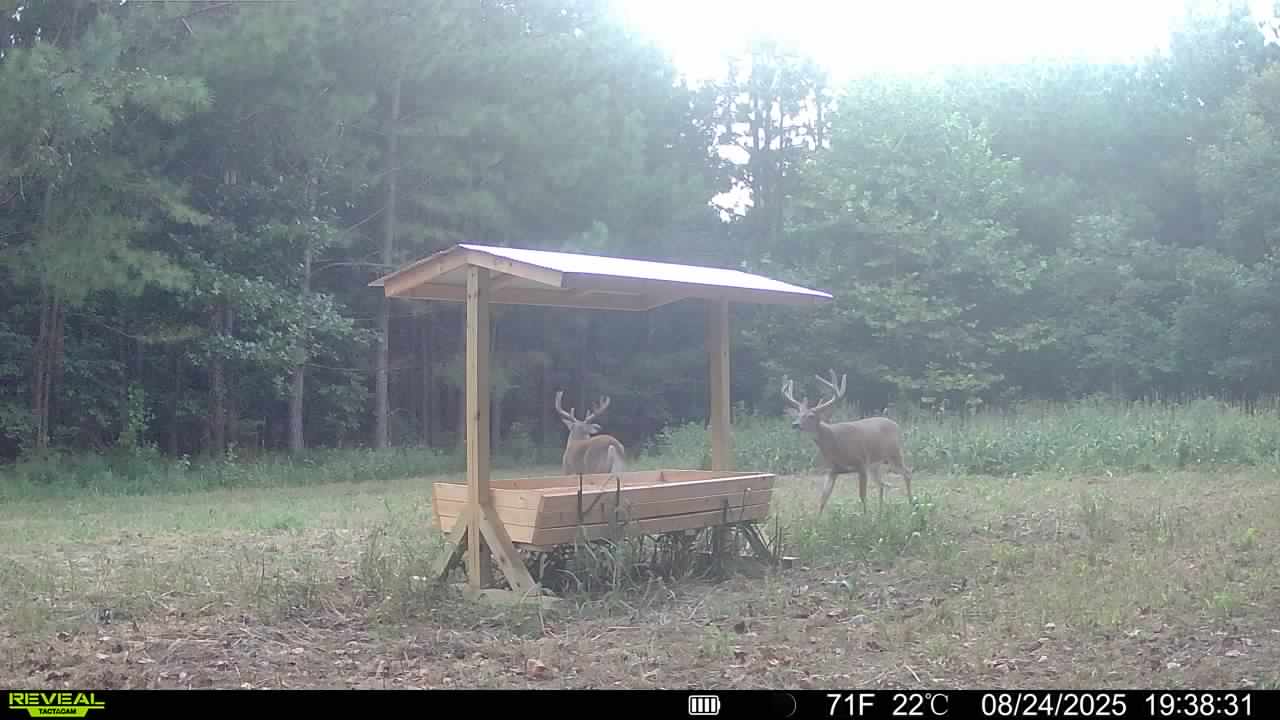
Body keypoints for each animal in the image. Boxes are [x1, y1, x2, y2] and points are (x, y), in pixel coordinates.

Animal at [781, 369, 914, 515]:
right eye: (798, 415)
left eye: (811, 416)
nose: (795, 424)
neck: (835, 443)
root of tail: (896, 425)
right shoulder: (832, 470)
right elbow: (823, 498)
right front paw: (817, 518)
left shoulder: (861, 463)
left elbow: (862, 496)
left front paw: (865, 516)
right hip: (875, 464)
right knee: (883, 484)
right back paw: (881, 512)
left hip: (894, 454)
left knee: (907, 473)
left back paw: (911, 505)